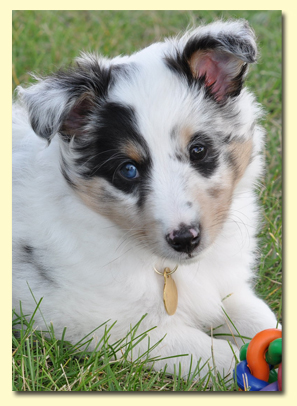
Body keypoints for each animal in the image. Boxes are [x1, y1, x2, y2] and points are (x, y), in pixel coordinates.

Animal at [12, 19, 278, 380]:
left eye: (199, 150)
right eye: (128, 170)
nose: (185, 239)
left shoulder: (224, 287)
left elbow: (262, 318)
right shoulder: (108, 323)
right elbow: (209, 352)